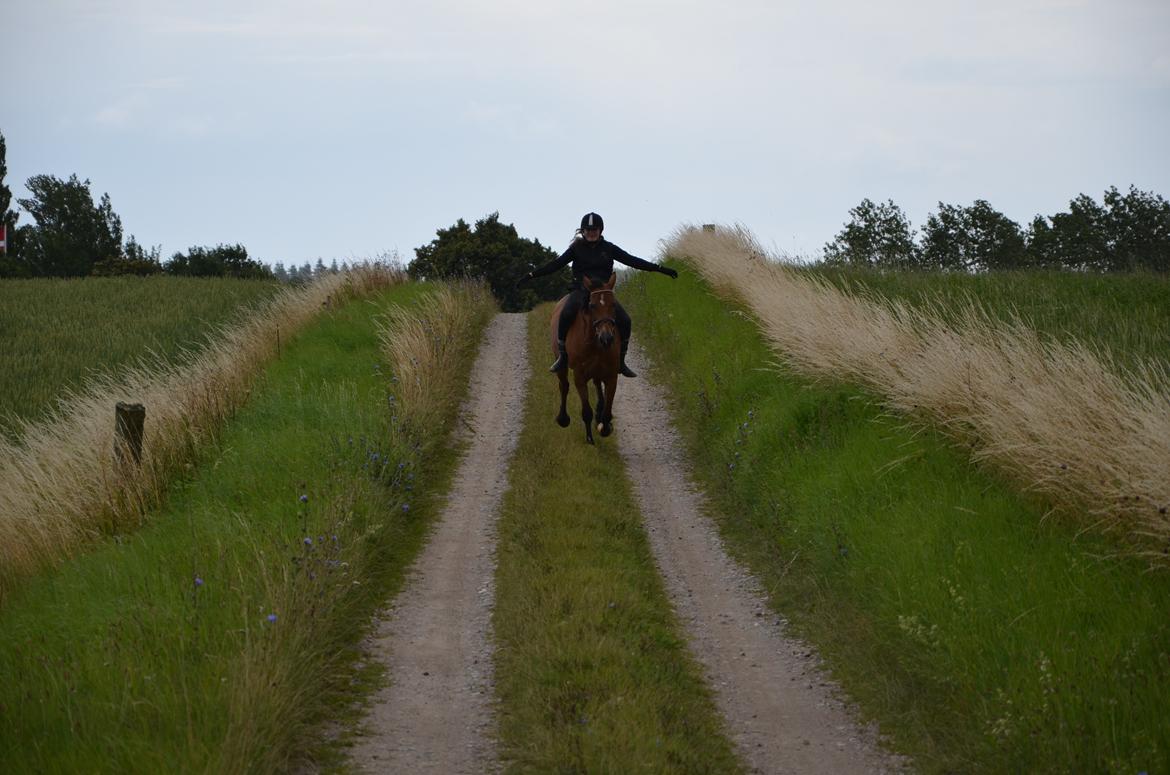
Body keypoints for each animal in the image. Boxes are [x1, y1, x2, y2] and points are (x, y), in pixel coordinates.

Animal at [547, 275, 622, 447]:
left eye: (613, 304)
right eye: (592, 306)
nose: (607, 338)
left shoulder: (611, 376)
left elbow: (607, 409)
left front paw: (604, 426)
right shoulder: (580, 376)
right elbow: (586, 410)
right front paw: (589, 438)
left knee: (597, 385)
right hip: (561, 362)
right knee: (564, 386)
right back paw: (563, 419)